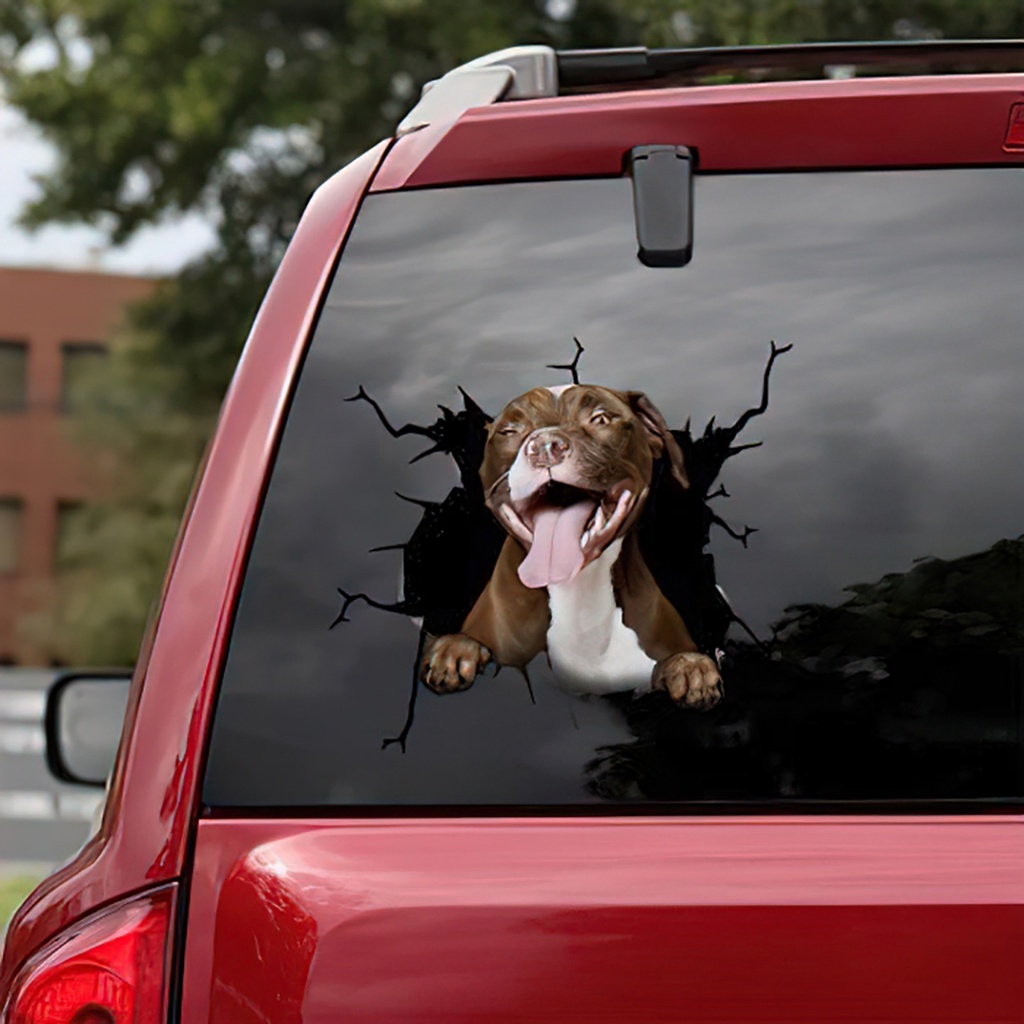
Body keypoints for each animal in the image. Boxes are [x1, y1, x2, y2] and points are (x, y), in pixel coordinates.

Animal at [419, 380, 724, 708]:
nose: (545, 446)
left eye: (600, 418)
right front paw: (454, 650)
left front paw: (691, 668)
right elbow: (468, 640)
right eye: (510, 430)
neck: (578, 593)